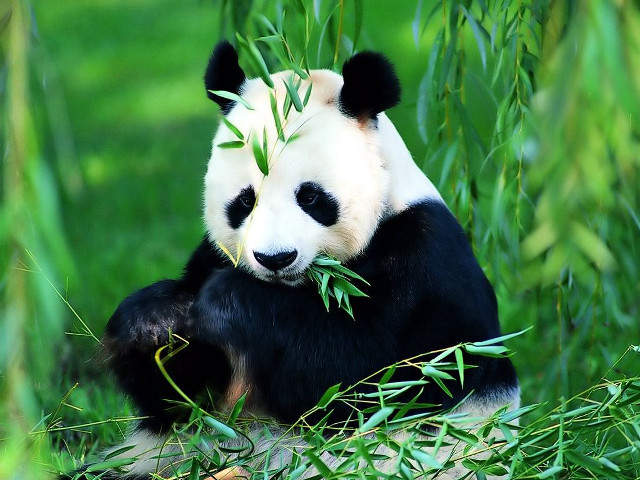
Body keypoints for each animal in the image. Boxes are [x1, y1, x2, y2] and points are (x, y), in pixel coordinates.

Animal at [65, 41, 519, 479]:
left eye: (311, 197)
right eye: (245, 201)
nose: (275, 258)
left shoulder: (425, 263)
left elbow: (363, 376)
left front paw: (227, 302)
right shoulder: (212, 255)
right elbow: (181, 400)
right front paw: (155, 320)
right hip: (159, 459)